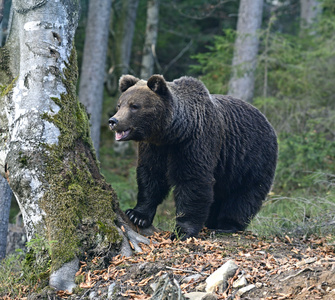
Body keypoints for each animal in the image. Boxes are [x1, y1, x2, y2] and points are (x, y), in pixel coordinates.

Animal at [109, 74, 278, 239]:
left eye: (134, 106)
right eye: (119, 104)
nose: (113, 121)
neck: (173, 133)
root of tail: (268, 122)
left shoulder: (194, 143)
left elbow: (193, 182)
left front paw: (182, 231)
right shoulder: (154, 148)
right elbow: (151, 176)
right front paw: (137, 215)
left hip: (252, 159)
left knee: (244, 196)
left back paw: (226, 226)